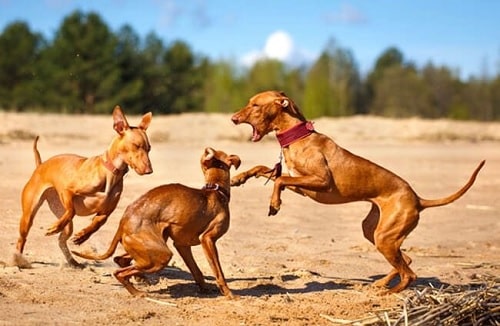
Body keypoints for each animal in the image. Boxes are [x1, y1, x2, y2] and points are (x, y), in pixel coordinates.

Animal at [14, 105, 154, 268]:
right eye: (136, 146)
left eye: (149, 148)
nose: (149, 170)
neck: (110, 173)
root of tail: (40, 166)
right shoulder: (67, 191)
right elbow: (72, 210)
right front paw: (57, 227)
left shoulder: (106, 212)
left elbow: (97, 223)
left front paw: (83, 236)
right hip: (28, 216)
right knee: (22, 239)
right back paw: (18, 259)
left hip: (64, 221)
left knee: (62, 239)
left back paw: (73, 262)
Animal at [72, 148, 240, 298]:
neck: (216, 190)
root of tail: (123, 222)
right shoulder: (208, 240)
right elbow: (218, 272)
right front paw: (229, 294)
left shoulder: (182, 245)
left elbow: (196, 271)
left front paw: (205, 288)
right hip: (161, 256)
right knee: (119, 272)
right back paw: (138, 293)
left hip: (152, 249)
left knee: (121, 260)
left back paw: (139, 281)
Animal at [229, 90, 484, 294]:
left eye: (255, 105)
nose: (233, 118)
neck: (299, 137)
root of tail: (418, 199)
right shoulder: (300, 184)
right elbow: (265, 170)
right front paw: (238, 178)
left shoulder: (320, 181)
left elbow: (279, 179)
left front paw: (274, 204)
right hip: (375, 231)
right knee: (407, 259)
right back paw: (381, 283)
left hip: (385, 237)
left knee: (409, 273)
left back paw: (389, 293)